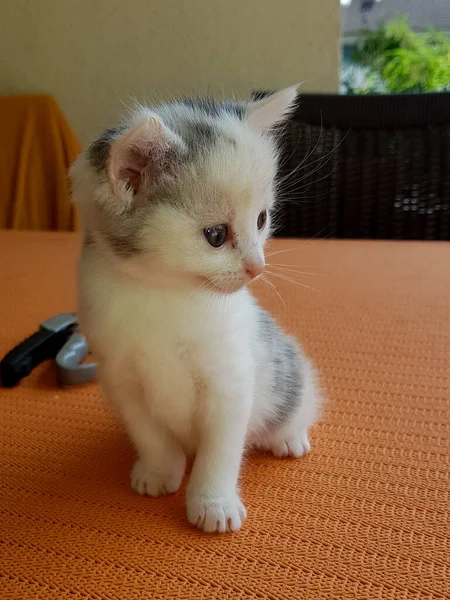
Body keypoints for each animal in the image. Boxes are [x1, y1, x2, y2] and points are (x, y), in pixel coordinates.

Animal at [70, 85, 322, 536]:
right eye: (216, 235)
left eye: (262, 219)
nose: (257, 268)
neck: (164, 292)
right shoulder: (120, 379)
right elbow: (149, 434)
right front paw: (158, 471)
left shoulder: (231, 380)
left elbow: (219, 452)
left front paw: (213, 503)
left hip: (287, 369)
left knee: (300, 401)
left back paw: (288, 437)